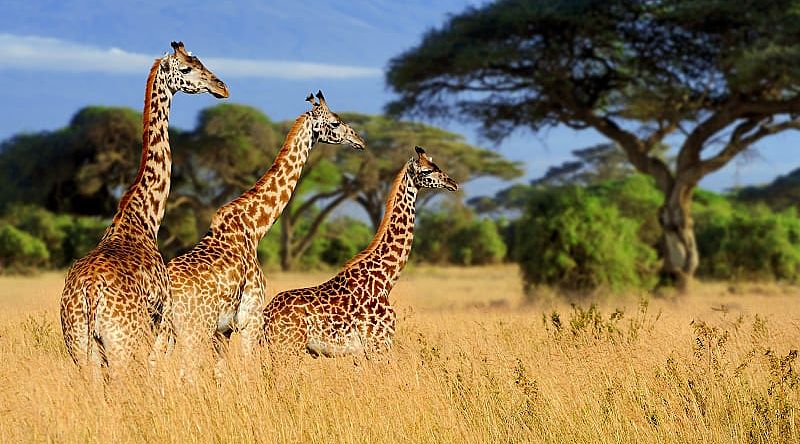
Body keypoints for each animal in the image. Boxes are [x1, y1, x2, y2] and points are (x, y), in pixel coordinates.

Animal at [58, 42, 228, 374]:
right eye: (187, 68)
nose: (222, 87)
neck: (144, 218)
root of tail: (89, 293)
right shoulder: (161, 319)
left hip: (80, 347)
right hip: (124, 343)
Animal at [164, 91, 368, 372]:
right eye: (335, 122)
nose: (360, 141)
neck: (254, 227)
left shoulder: (224, 330)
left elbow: (221, 371)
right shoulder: (250, 318)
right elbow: (248, 367)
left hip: (165, 332)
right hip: (194, 329)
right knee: (187, 370)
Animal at [266, 146, 460, 358]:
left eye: (436, 166)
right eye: (426, 171)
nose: (453, 183)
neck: (385, 280)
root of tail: (266, 317)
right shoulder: (378, 344)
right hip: (288, 347)